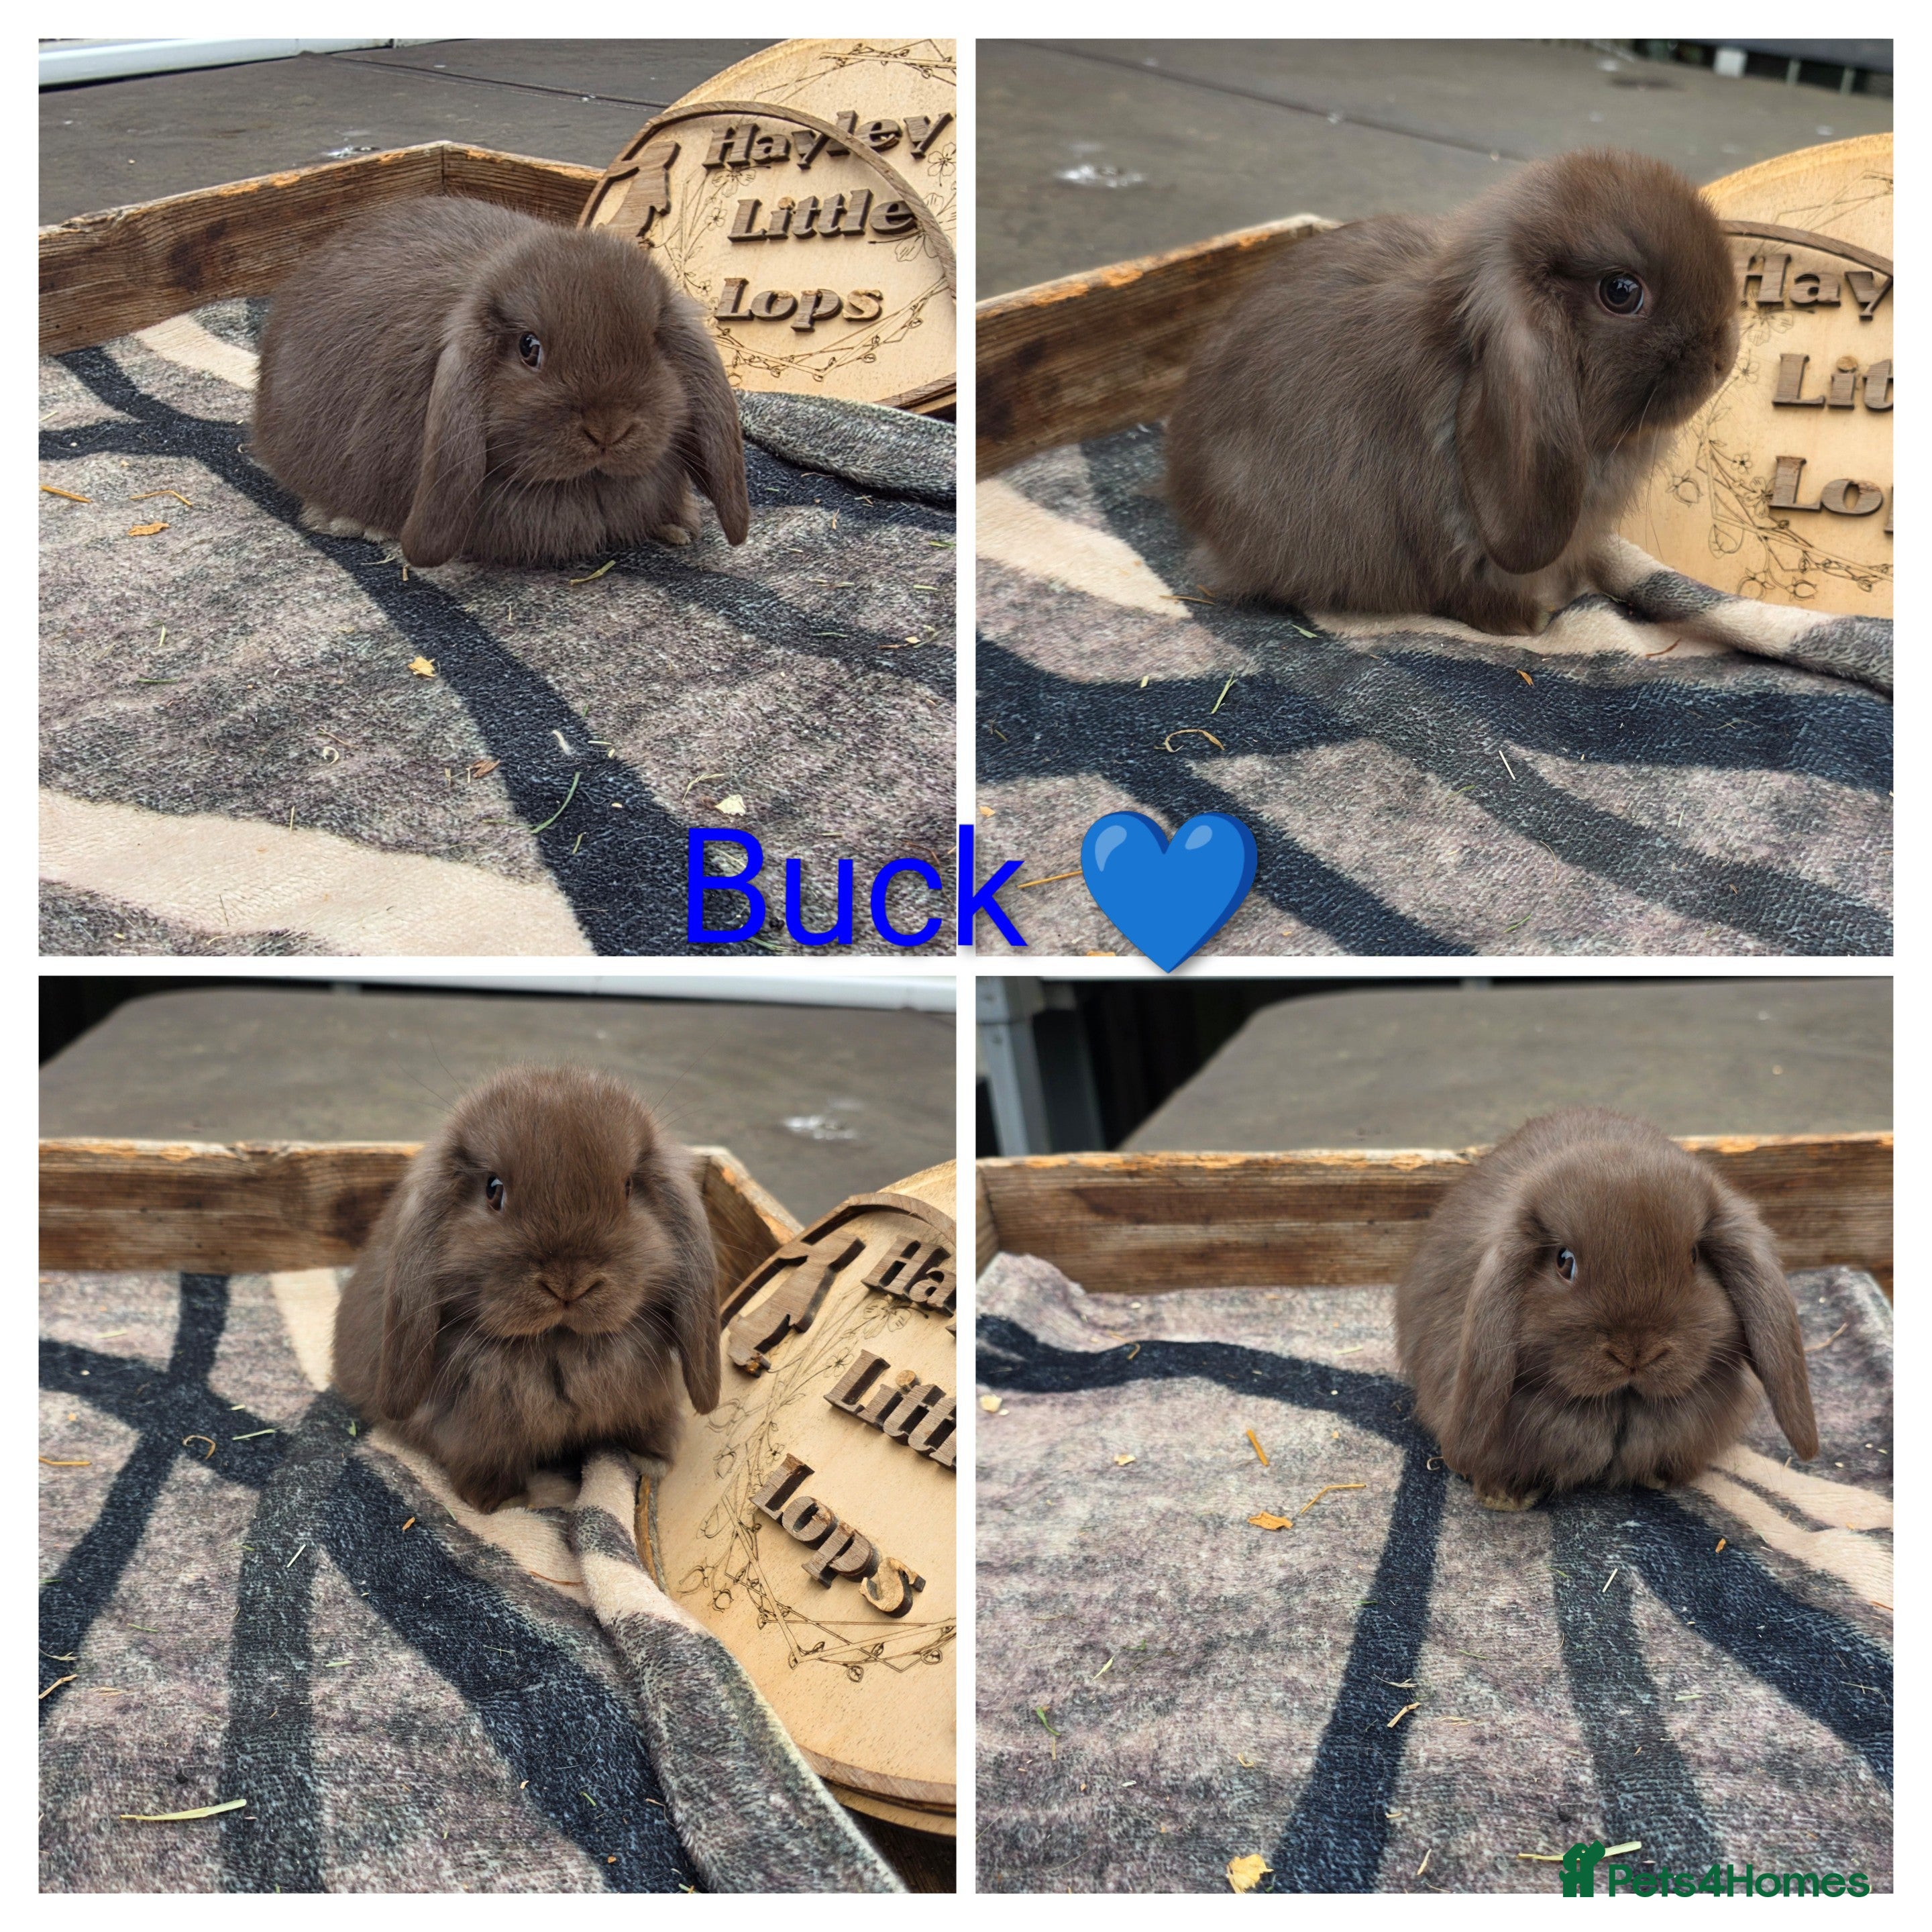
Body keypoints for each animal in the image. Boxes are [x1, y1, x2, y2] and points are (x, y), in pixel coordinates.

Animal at [252, 197, 751, 568]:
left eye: (654, 340)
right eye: (529, 348)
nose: (608, 429)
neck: (584, 485)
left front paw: (679, 525)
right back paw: (343, 521)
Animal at [333, 1065, 722, 1512]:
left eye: (627, 1187)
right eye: (493, 1189)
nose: (569, 1282)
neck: (559, 1343)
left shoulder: (651, 1400)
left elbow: (650, 1429)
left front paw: (655, 1461)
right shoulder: (477, 1437)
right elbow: (487, 1479)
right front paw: (518, 1502)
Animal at [1394, 1107, 1817, 1512]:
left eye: (1694, 1257)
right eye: (1564, 1261)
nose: (1636, 1352)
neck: (1619, 1405)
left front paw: (1660, 1477)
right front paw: (1503, 1497)